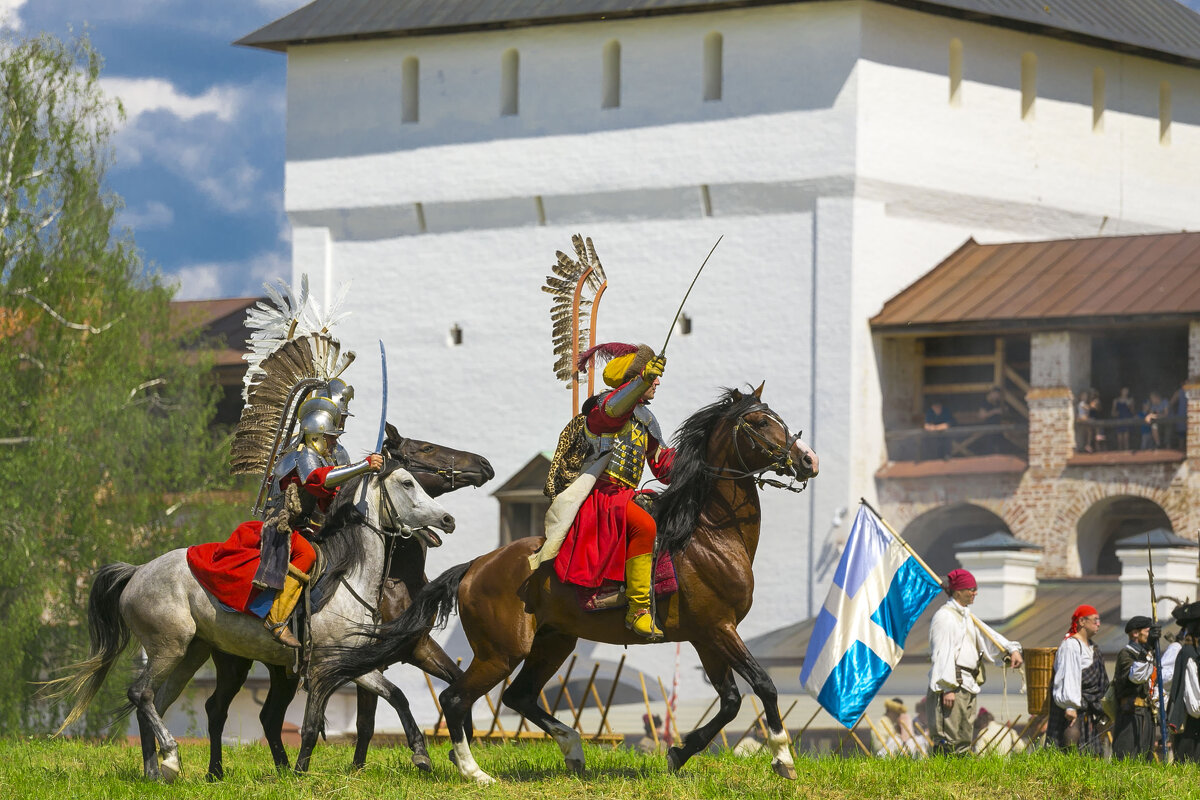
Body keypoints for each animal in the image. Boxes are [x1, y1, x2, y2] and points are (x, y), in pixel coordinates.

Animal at [46, 462, 453, 782]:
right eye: (407, 483)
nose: (447, 519)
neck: (346, 580)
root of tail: (137, 572)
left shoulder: (351, 664)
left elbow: (396, 695)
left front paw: (421, 754)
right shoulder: (325, 667)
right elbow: (311, 724)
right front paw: (300, 772)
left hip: (190, 655)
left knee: (157, 703)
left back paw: (158, 772)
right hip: (169, 648)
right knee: (141, 695)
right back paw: (173, 757)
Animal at [201, 424, 492, 782]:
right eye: (426, 448)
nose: (484, 465)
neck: (389, 583)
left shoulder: (418, 648)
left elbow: (454, 680)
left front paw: (456, 747)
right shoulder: (363, 662)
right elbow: (368, 719)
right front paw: (362, 767)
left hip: (282, 671)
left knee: (269, 716)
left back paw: (283, 770)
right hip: (234, 661)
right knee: (218, 708)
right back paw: (217, 772)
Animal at [304, 383, 820, 786]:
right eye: (760, 422)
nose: (807, 460)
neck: (707, 532)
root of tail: (475, 566)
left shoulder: (706, 635)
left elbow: (732, 702)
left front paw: (679, 751)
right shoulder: (719, 629)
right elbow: (764, 685)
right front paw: (783, 757)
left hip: (554, 641)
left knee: (517, 696)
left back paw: (572, 747)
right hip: (503, 651)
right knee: (457, 698)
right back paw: (474, 771)